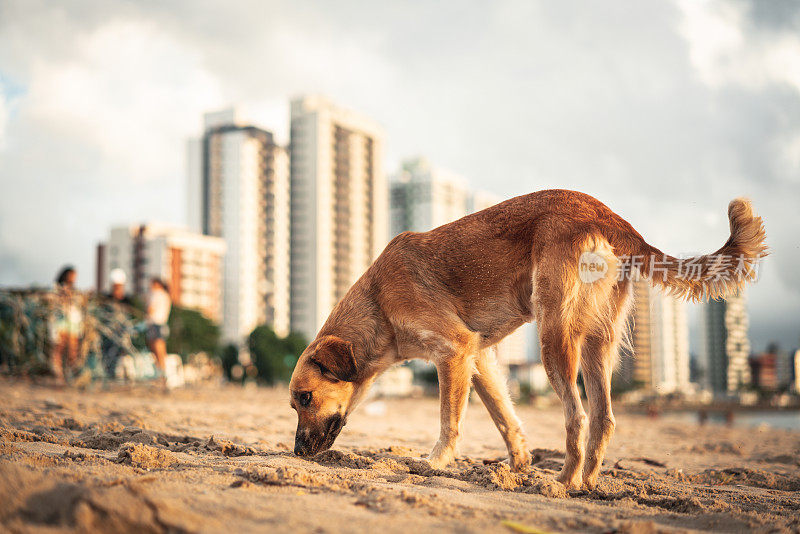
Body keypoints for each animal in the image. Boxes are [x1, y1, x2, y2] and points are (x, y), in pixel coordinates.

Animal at [290, 191, 764, 492]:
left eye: (305, 398)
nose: (295, 453)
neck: (379, 301)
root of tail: (608, 216)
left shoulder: (455, 351)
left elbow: (449, 420)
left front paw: (436, 462)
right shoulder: (479, 358)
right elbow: (505, 417)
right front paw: (517, 463)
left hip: (555, 337)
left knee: (577, 417)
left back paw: (563, 482)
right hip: (596, 345)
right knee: (603, 417)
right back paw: (587, 483)